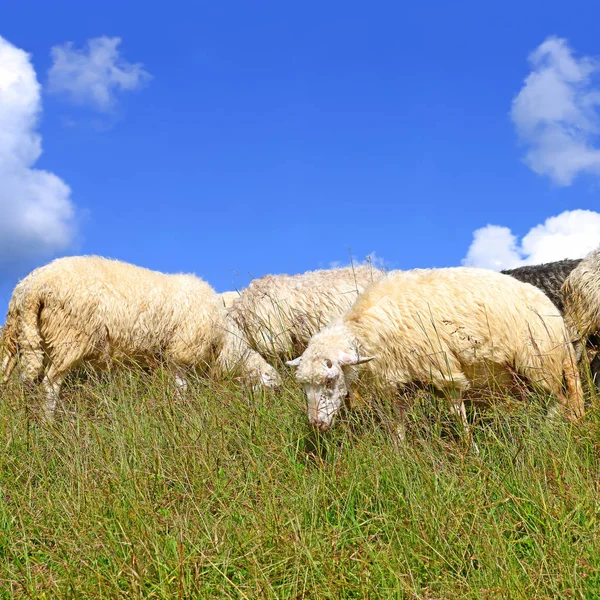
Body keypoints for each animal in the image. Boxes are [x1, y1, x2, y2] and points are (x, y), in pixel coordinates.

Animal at [0, 254, 282, 418]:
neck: (226, 341)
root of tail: (31, 287)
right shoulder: (179, 352)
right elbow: (181, 386)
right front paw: (181, 411)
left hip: (16, 337)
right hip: (69, 337)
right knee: (50, 385)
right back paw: (48, 422)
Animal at [288, 270, 584, 434]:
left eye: (330, 380)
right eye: (303, 386)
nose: (316, 424)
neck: (365, 328)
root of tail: (556, 315)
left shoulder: (444, 370)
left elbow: (457, 416)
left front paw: (470, 450)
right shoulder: (401, 382)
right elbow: (398, 424)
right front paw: (399, 454)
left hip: (540, 363)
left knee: (559, 401)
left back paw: (546, 431)